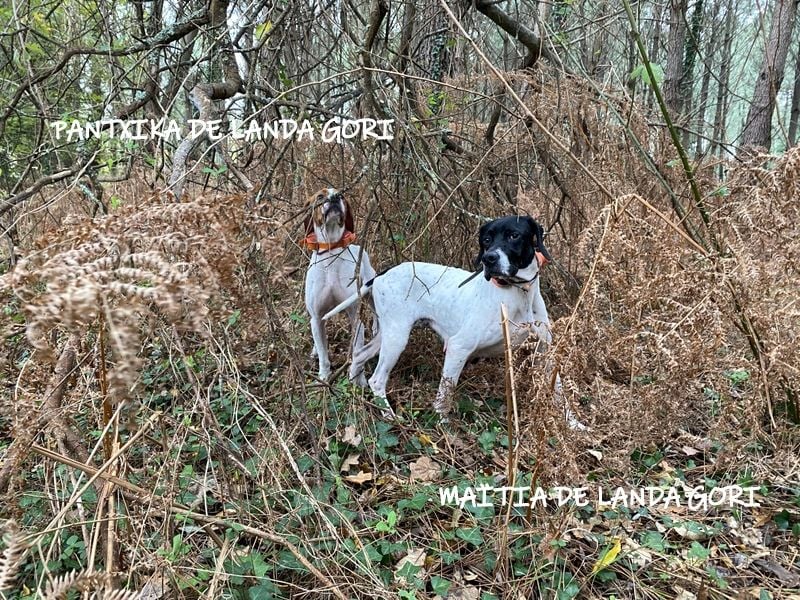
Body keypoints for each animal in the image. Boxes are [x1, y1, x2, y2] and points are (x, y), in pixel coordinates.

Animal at [302, 186, 376, 384]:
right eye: (320, 196)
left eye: (341, 196)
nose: (335, 197)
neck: (331, 249)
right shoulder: (316, 317)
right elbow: (323, 354)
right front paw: (324, 377)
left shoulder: (355, 315)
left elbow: (357, 350)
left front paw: (359, 380)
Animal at [322, 216, 584, 426]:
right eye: (486, 239)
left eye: (514, 235)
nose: (489, 259)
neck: (519, 295)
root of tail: (381, 275)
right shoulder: (458, 347)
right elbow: (444, 396)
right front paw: (443, 427)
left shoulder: (545, 352)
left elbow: (560, 394)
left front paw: (574, 425)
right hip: (397, 338)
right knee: (377, 380)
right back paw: (388, 415)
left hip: (388, 335)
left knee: (359, 355)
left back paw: (353, 390)